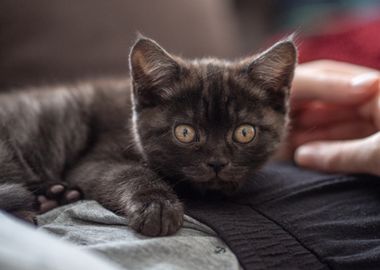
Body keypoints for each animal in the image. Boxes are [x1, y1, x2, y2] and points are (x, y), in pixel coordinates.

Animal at [0, 36, 296, 236]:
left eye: (244, 132)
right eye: (185, 132)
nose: (217, 162)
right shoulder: (94, 160)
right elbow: (130, 173)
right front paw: (157, 206)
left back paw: (53, 195)